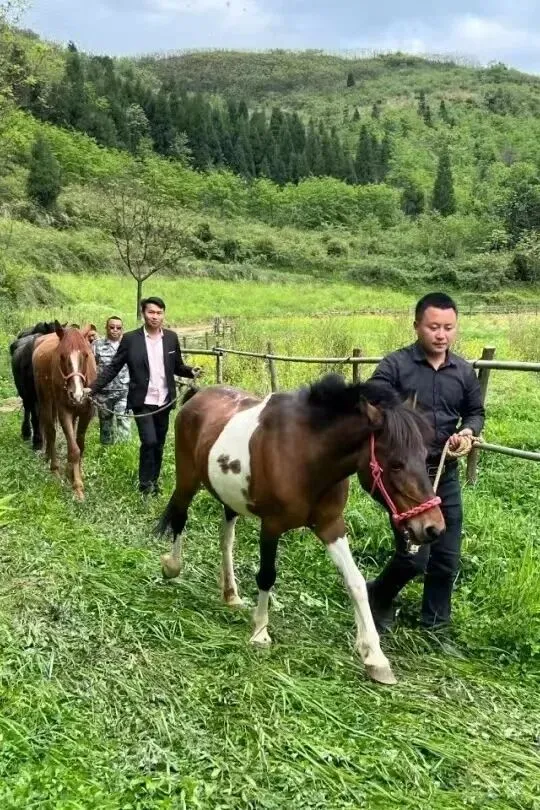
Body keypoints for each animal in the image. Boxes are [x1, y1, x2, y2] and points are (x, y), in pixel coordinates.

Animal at [32, 322, 97, 500]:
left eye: (86, 355)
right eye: (62, 356)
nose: (77, 394)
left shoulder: (86, 413)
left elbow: (79, 444)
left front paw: (74, 473)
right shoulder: (64, 412)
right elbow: (74, 449)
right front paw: (77, 487)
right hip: (45, 400)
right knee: (50, 431)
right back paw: (54, 467)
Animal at [157, 373, 445, 686]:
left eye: (425, 456)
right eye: (395, 464)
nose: (433, 527)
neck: (305, 454)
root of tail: (196, 396)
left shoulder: (331, 526)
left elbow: (355, 582)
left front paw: (375, 658)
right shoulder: (271, 526)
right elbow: (266, 576)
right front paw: (260, 633)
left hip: (230, 500)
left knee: (226, 541)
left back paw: (231, 594)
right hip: (187, 479)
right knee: (180, 519)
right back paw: (172, 566)